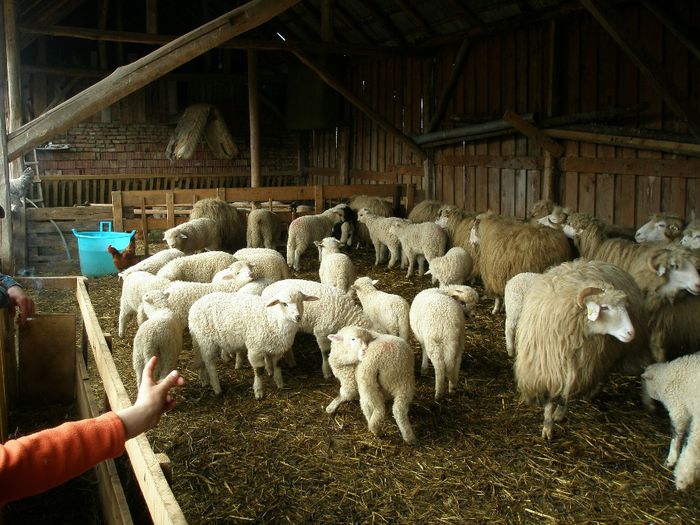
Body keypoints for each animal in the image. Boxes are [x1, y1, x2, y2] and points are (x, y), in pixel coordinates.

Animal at [186, 286, 318, 398]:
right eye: (284, 304)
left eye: (301, 302)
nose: (297, 317)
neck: (274, 318)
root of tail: (196, 304)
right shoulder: (255, 349)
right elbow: (259, 371)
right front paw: (258, 391)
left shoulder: (278, 348)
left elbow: (277, 365)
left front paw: (280, 384)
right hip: (205, 340)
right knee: (209, 363)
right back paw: (217, 388)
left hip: (199, 341)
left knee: (201, 359)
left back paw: (204, 380)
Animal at [516, 266, 640, 438]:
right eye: (604, 307)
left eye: (625, 307)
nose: (631, 333)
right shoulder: (548, 368)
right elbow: (550, 399)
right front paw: (547, 426)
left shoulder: (578, 366)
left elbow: (565, 394)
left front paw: (559, 413)